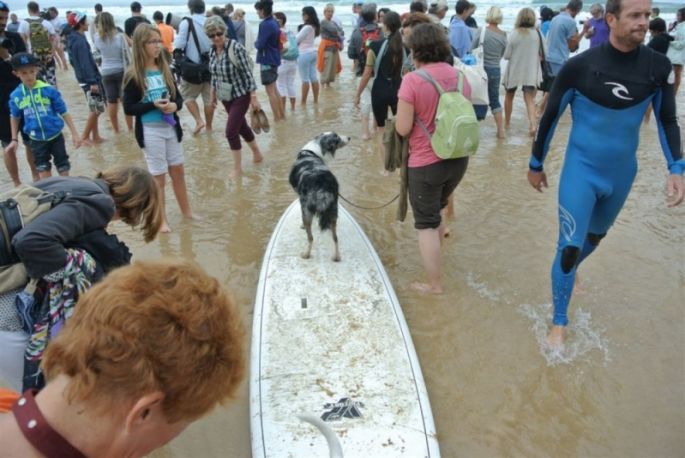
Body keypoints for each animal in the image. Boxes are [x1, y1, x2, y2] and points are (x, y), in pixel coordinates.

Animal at [288, 132, 350, 262]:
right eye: (337, 137)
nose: (349, 137)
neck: (314, 151)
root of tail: (322, 182)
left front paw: (301, 226)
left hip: (307, 210)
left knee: (310, 238)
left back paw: (306, 254)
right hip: (333, 211)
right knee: (335, 237)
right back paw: (336, 257)